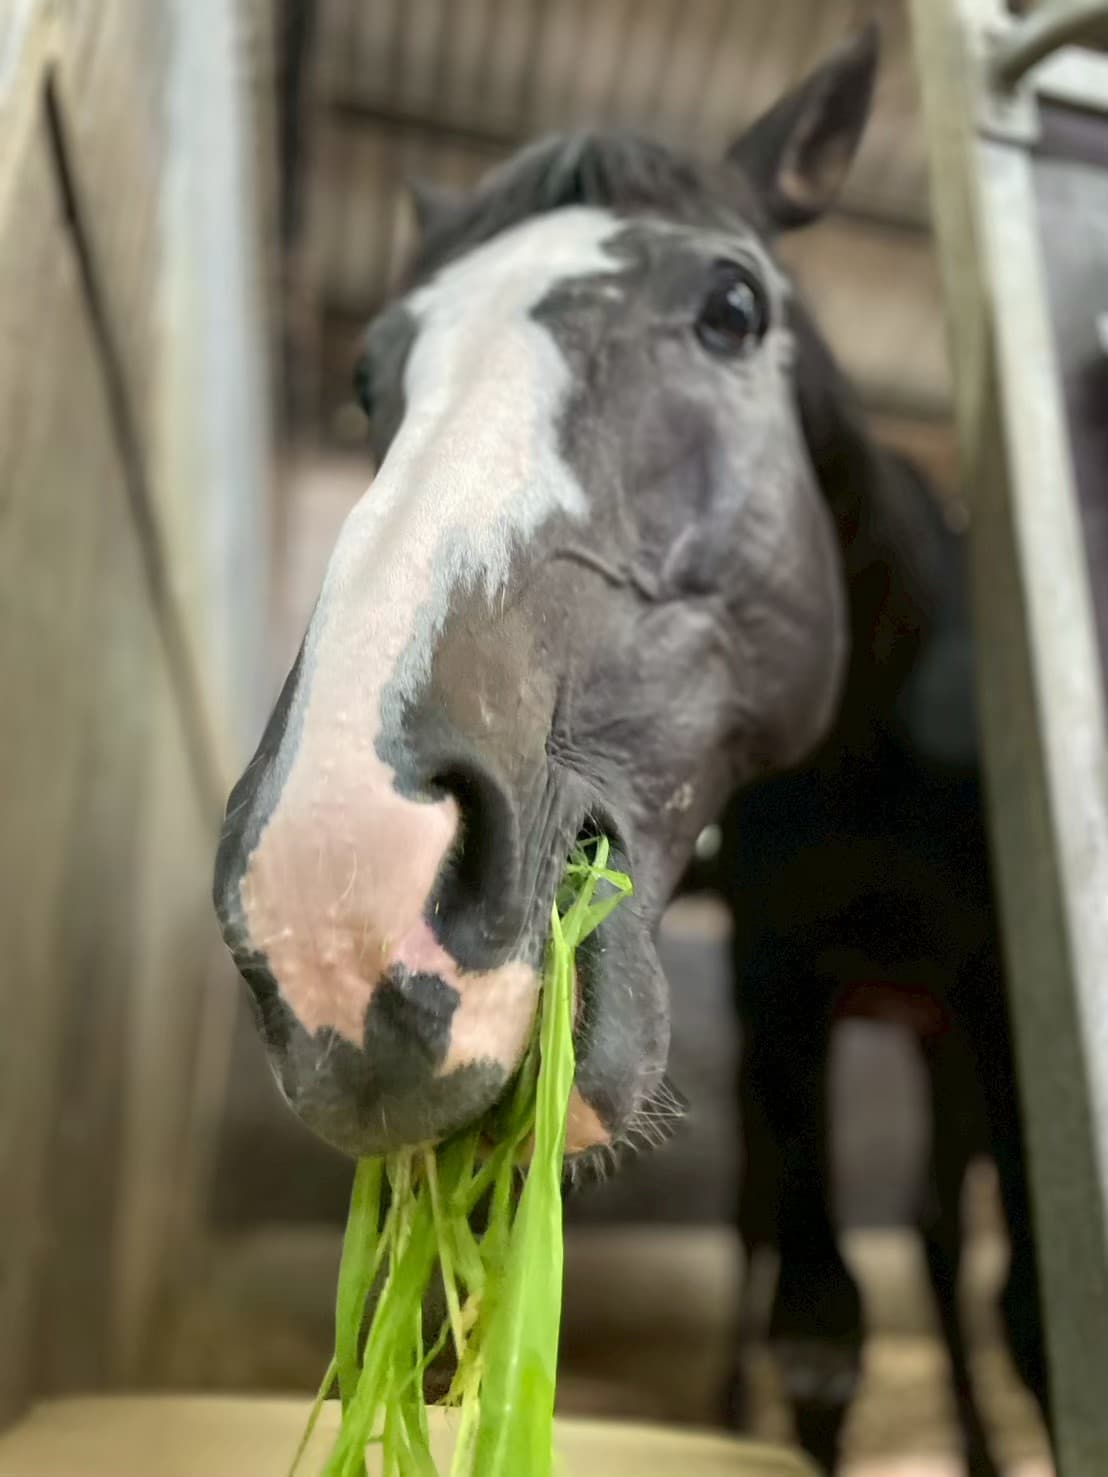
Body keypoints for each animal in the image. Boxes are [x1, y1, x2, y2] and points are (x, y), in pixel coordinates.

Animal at [212, 24, 1048, 1473]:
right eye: (372, 380)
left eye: (733, 308)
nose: (338, 894)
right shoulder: (781, 988)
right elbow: (817, 1322)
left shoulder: (997, 995)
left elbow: (1025, 1314)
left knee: (948, 1250)